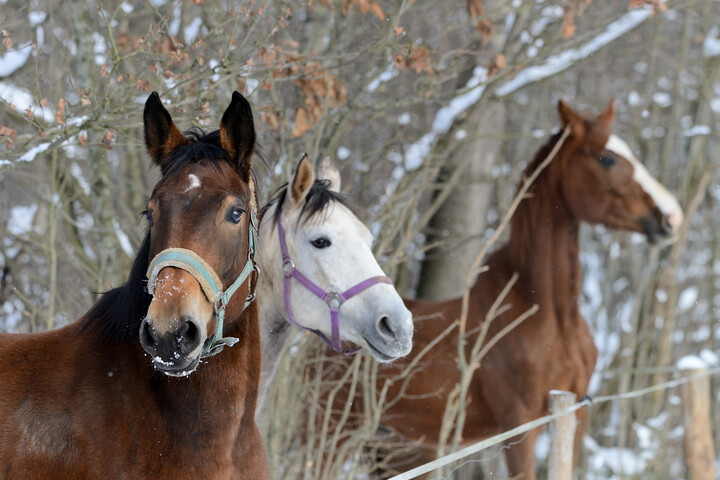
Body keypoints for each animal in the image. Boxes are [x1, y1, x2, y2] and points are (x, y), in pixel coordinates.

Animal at [334, 99, 684, 478]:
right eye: (607, 158)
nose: (671, 217)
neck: (550, 318)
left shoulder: (577, 412)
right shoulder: (520, 427)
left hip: (395, 449)